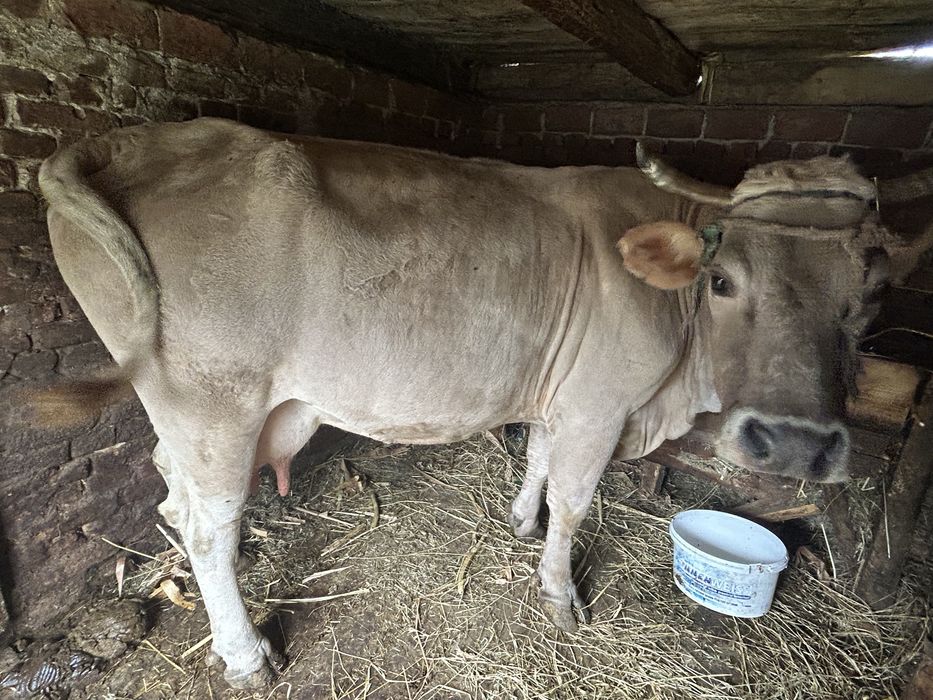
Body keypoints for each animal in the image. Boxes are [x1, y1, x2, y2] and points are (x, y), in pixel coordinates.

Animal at [35, 118, 931, 688]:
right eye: (720, 279)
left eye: (871, 291)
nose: (794, 443)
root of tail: (128, 138)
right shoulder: (601, 401)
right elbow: (575, 498)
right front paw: (560, 595)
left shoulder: (561, 390)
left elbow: (537, 457)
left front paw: (519, 522)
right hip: (213, 400)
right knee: (207, 522)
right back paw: (247, 654)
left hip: (187, 410)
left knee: (170, 491)